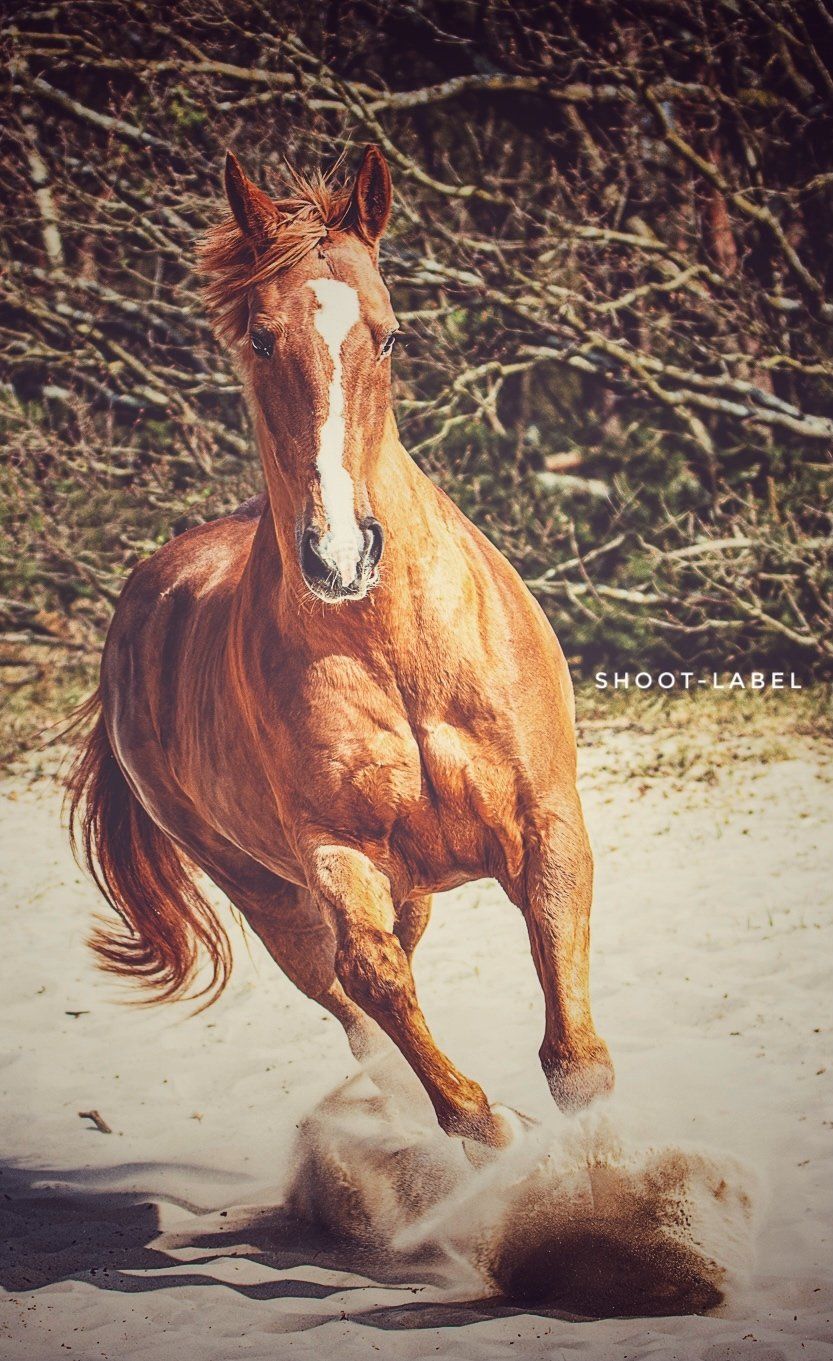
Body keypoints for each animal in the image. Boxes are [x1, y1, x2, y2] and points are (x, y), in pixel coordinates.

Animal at [67, 145, 613, 1151]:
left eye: (389, 336)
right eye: (259, 336)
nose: (340, 554)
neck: (392, 648)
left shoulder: (546, 825)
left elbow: (575, 1059)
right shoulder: (335, 855)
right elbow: (377, 984)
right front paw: (488, 1130)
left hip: (413, 885)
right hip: (269, 895)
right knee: (355, 1010)